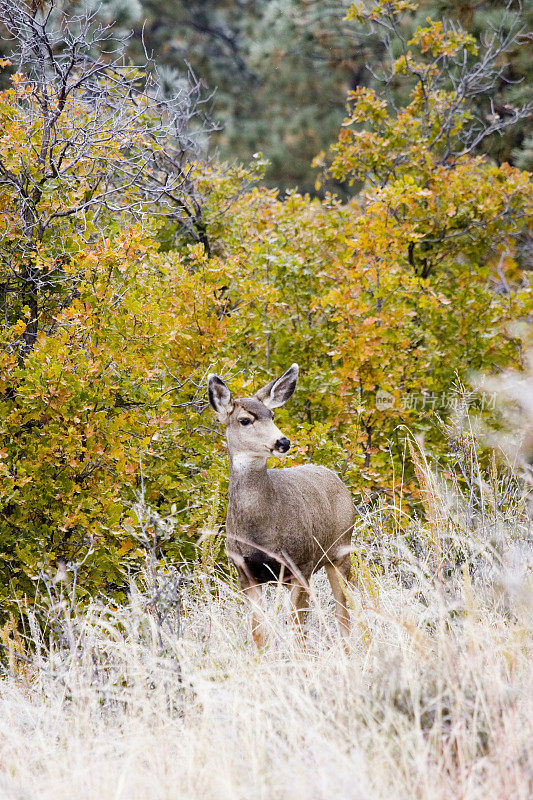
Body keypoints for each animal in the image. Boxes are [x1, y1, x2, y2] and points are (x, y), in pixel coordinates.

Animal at [207, 364, 354, 648]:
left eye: (272, 415)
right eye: (245, 420)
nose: (283, 442)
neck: (260, 531)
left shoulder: (300, 565)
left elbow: (297, 630)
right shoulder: (245, 572)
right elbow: (259, 632)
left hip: (341, 550)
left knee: (344, 610)